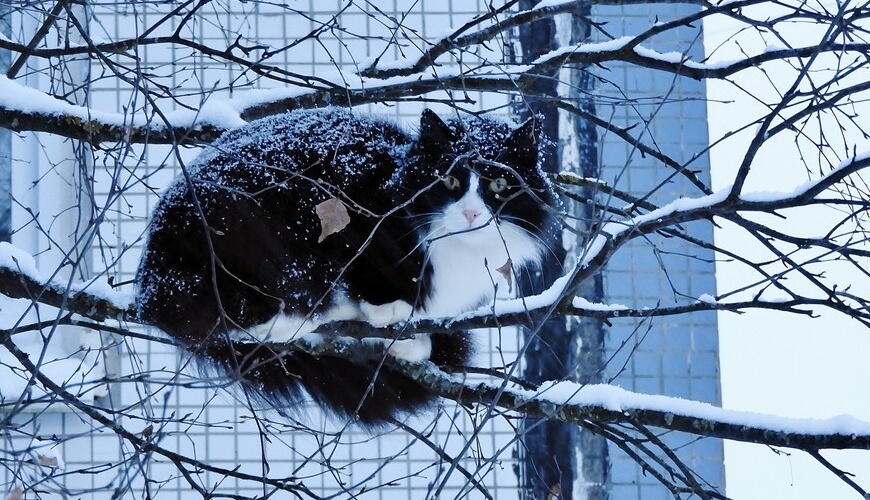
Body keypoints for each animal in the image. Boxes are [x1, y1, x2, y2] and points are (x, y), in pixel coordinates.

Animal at [136, 107, 560, 426]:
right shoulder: (356, 208)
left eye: (500, 185)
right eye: (450, 180)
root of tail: (150, 276)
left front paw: (408, 342)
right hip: (263, 226)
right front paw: (390, 316)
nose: (471, 213)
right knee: (255, 315)